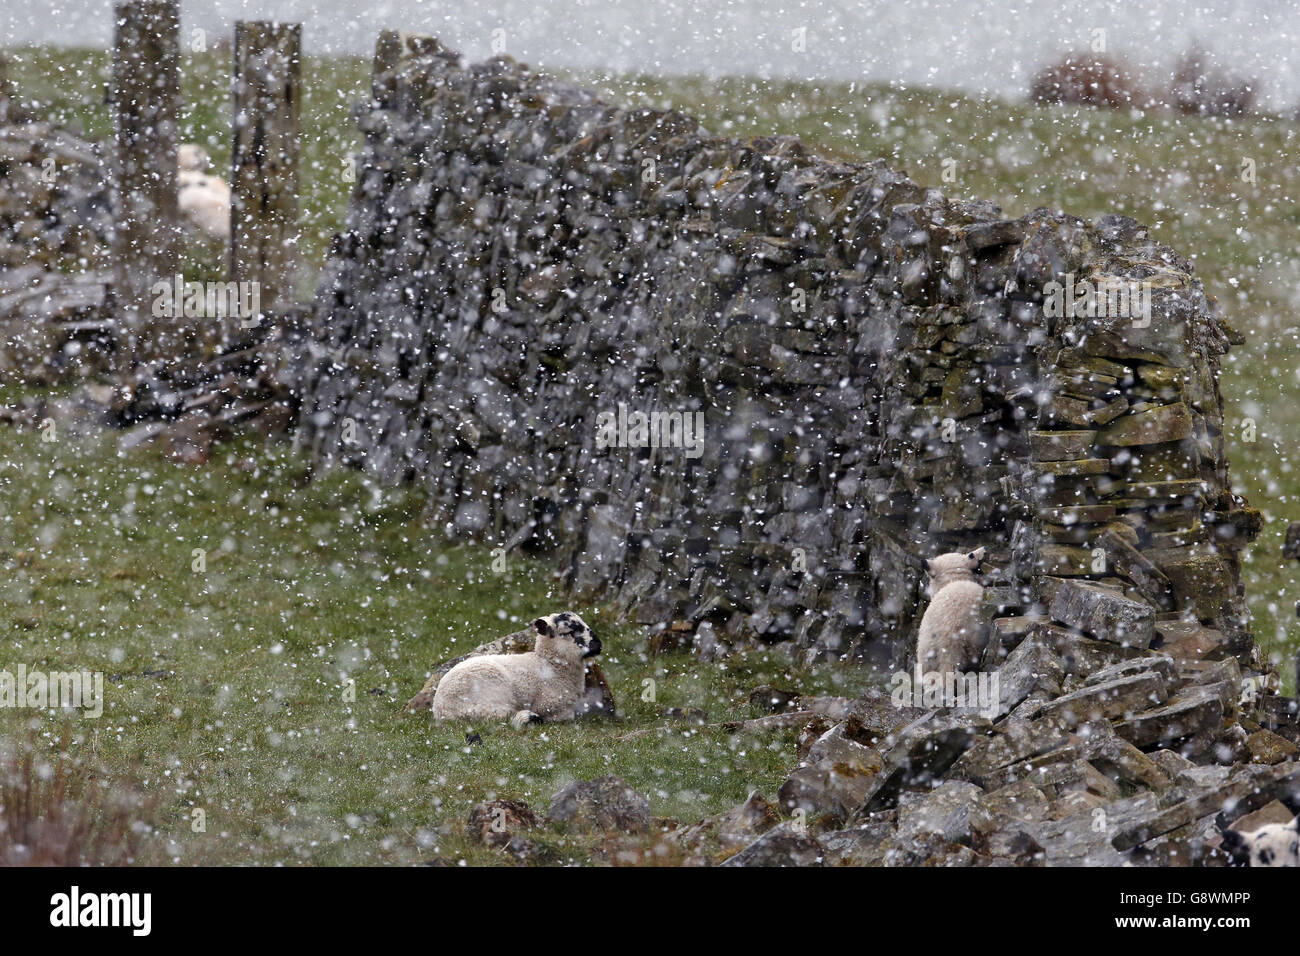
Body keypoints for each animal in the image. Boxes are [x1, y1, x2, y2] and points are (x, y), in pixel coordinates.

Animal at [431, 613, 603, 733]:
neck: (549, 664)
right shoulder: (552, 706)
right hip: (490, 701)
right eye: (568, 631)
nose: (599, 645)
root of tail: (440, 709)